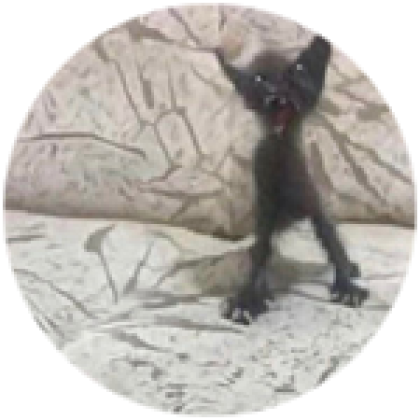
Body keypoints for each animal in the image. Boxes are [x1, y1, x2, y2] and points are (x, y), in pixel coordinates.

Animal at [214, 32, 369, 325]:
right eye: (259, 79)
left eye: (295, 72)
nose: (277, 92)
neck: (281, 145)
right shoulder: (265, 207)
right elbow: (260, 253)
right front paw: (247, 299)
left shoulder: (312, 197)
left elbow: (331, 239)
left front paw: (347, 286)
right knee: (260, 251)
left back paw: (350, 267)